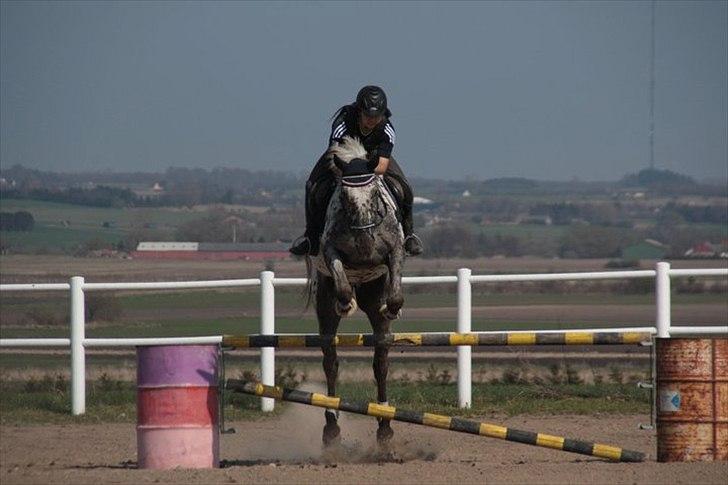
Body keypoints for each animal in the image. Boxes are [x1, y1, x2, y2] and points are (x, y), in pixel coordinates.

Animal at [304, 135, 406, 446]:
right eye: (346, 198)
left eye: (373, 195)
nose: (364, 244)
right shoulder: (329, 252)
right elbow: (339, 274)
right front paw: (346, 303)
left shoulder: (394, 251)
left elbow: (395, 289)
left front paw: (393, 307)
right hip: (324, 311)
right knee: (331, 362)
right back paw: (331, 427)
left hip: (373, 298)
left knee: (381, 363)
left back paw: (385, 426)